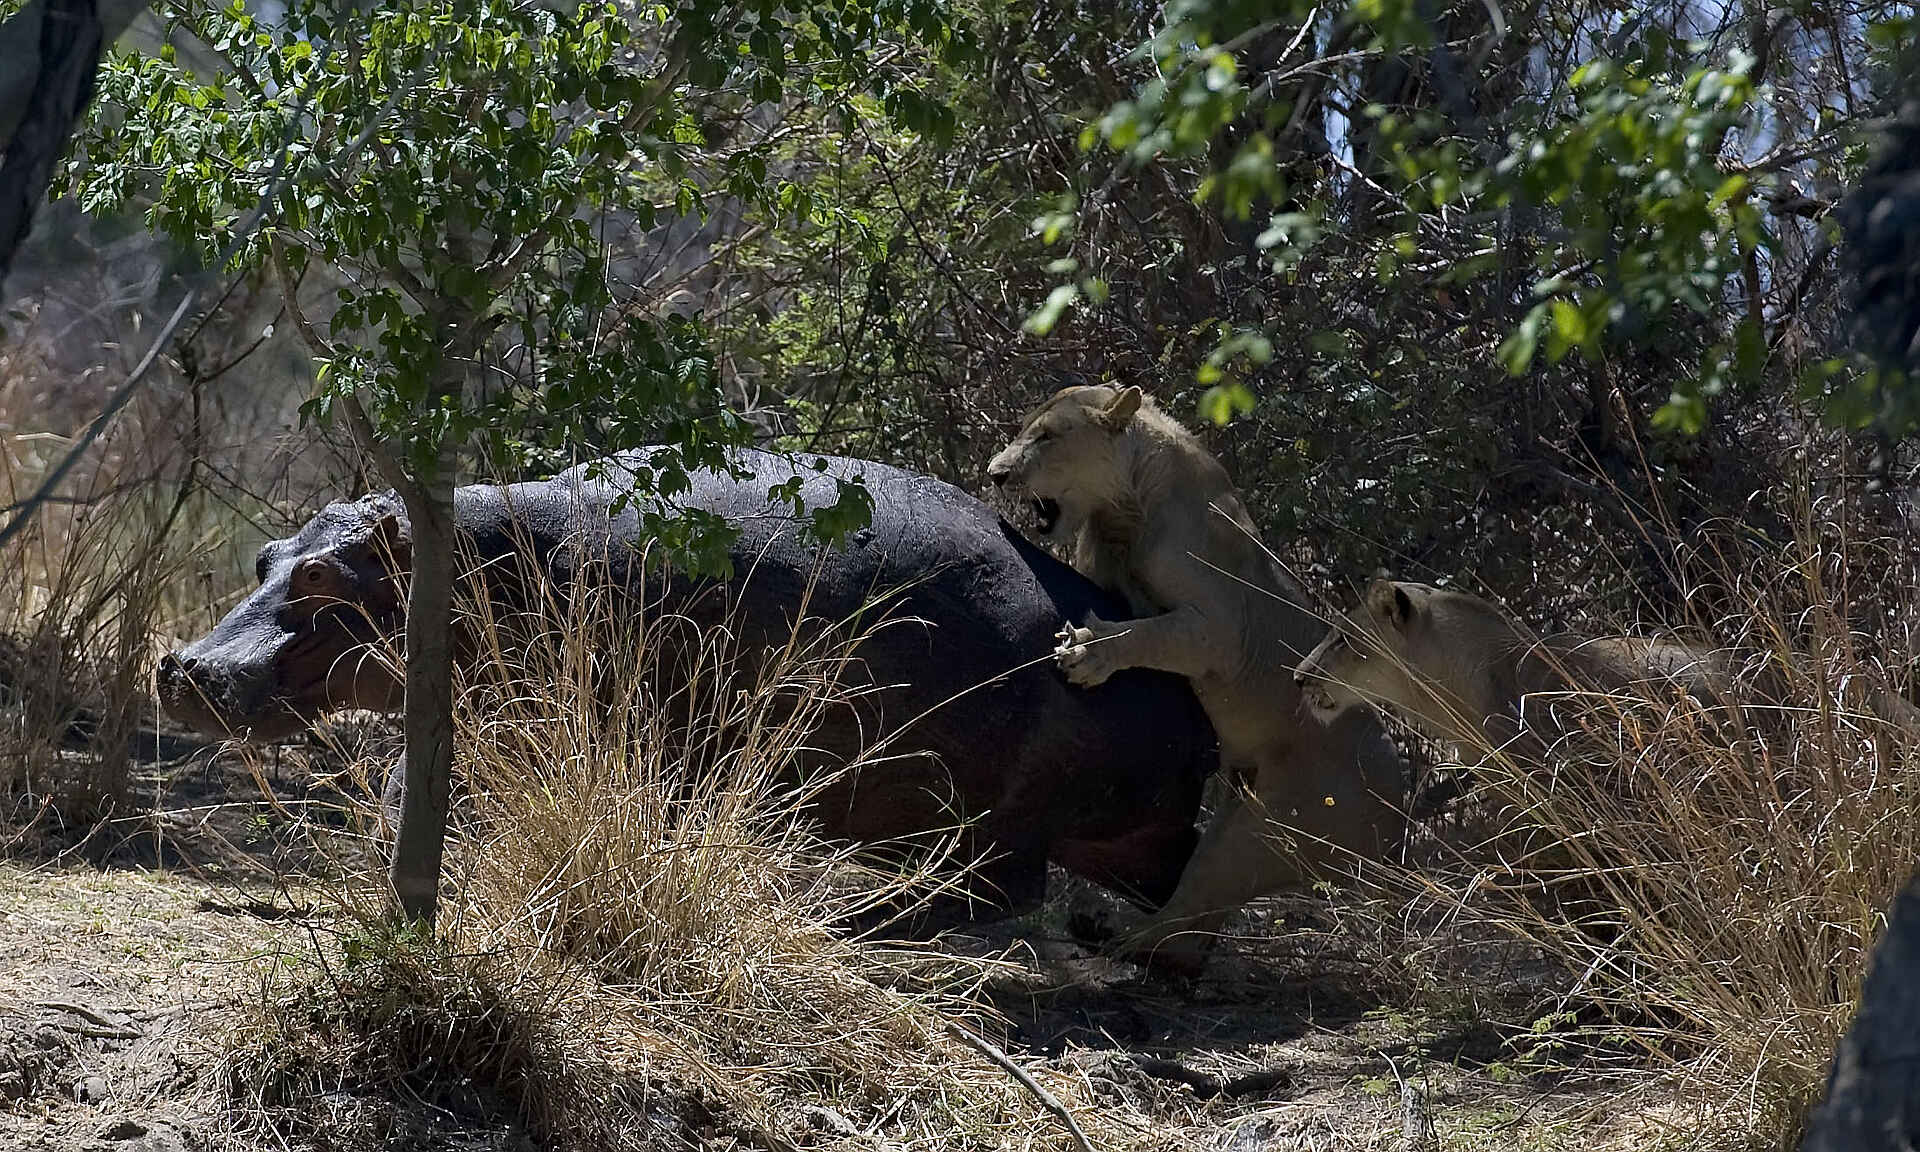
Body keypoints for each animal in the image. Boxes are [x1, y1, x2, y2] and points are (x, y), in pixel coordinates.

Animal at [987, 384, 1409, 973]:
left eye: (1046, 437)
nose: (995, 474)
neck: (1123, 509)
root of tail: (1397, 818)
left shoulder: (1221, 629)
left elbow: (1145, 632)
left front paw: (1088, 651)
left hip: (1262, 831)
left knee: (1189, 916)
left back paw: (1117, 935)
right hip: (1234, 813)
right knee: (1195, 930)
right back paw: (1107, 930)